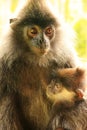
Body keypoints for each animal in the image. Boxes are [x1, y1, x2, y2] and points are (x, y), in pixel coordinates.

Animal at [0, 0, 79, 130]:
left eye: (48, 31)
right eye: (33, 31)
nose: (43, 41)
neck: (36, 60)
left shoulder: (66, 58)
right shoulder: (3, 62)